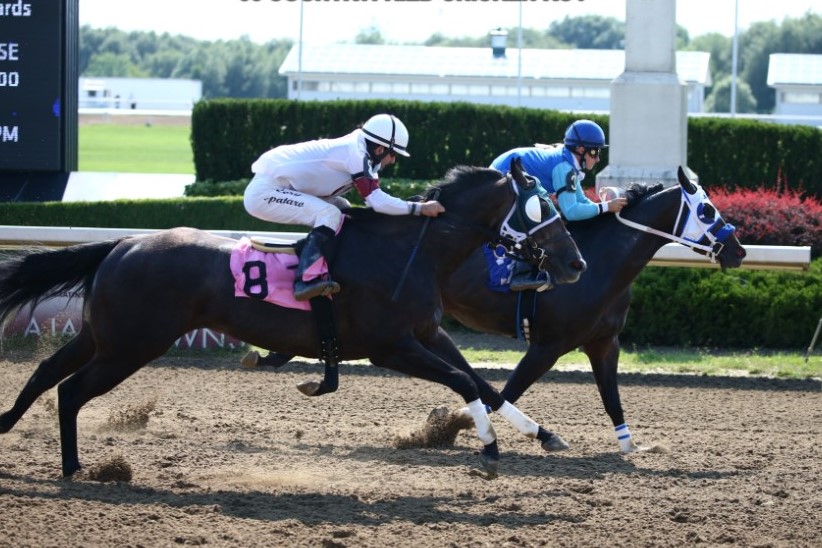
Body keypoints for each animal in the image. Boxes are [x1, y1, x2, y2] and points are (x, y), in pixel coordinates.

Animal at [1, 157, 592, 476]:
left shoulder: (428, 334)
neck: (411, 250)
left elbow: (481, 382)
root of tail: (122, 244)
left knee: (47, 374)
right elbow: (461, 382)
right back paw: (77, 468)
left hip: (104, 335)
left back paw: (11, 425)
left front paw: (544, 434)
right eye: (542, 206)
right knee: (71, 390)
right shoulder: (390, 347)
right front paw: (489, 448)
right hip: (131, 344)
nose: (576, 263)